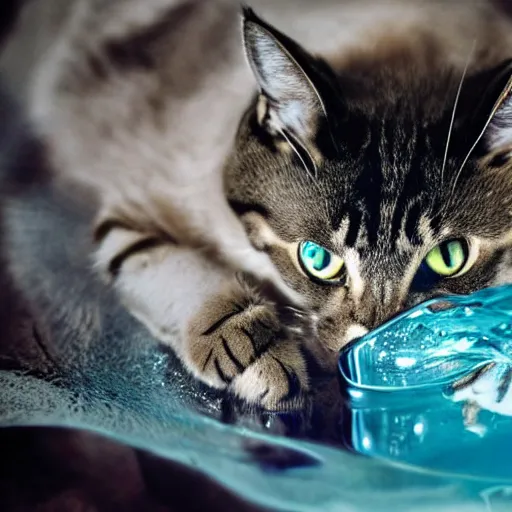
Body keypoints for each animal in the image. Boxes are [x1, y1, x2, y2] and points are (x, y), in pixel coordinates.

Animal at [17, 0, 512, 410]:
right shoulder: (136, 200)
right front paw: (257, 356)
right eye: (317, 259)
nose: (373, 352)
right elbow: (177, 271)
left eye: (449, 257)